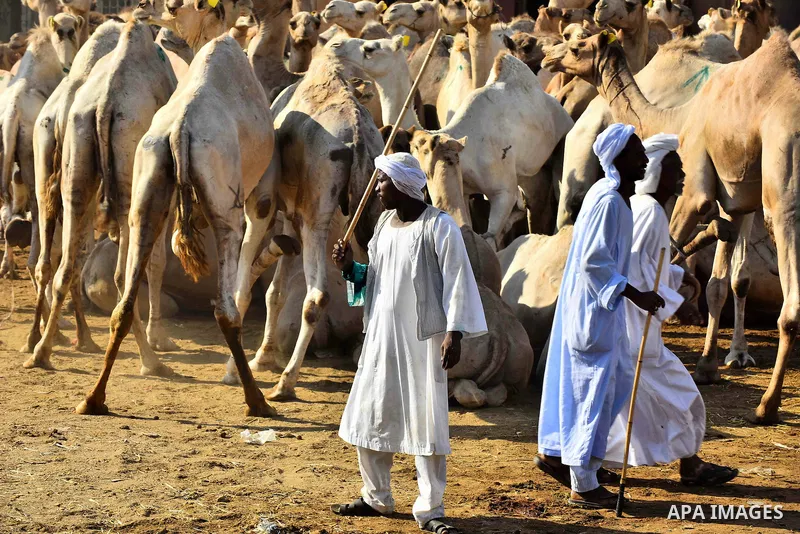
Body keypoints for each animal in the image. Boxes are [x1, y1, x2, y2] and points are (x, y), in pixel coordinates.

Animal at [543, 30, 800, 425]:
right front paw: (708, 366)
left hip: (782, 187)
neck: (678, 116)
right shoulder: (734, 196)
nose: (546, 56)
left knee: (789, 304)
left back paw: (767, 405)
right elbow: (719, 283)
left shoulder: (695, 189)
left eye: (575, 45)